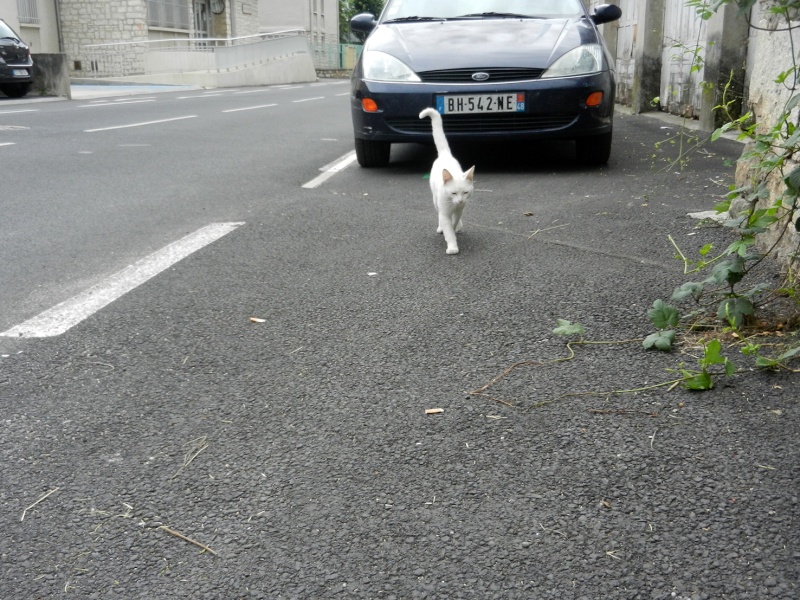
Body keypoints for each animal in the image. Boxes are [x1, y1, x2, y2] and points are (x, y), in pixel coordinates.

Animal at [418, 108, 476, 253]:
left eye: (465, 192)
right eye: (453, 193)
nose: (460, 200)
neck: (453, 205)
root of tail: (445, 154)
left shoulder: (460, 209)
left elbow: (454, 222)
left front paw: (455, 228)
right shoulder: (445, 212)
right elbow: (447, 227)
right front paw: (452, 246)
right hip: (435, 199)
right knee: (438, 213)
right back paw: (440, 228)